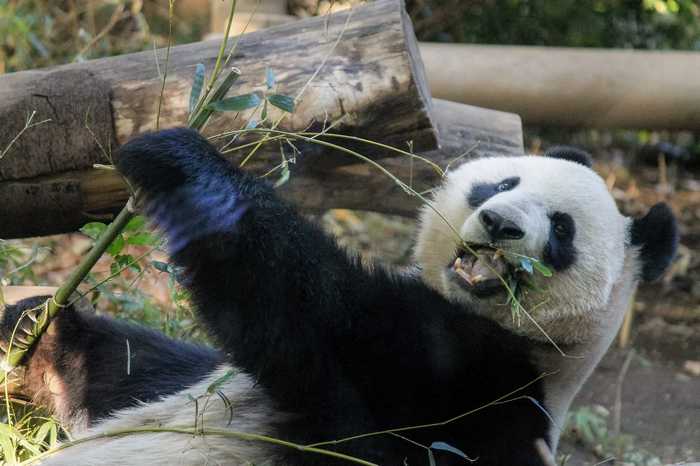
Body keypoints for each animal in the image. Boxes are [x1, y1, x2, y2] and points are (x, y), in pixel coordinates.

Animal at [1, 129, 677, 465]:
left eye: (562, 229)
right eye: (501, 182)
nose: (500, 222)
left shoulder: (469, 383)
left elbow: (310, 315)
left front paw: (179, 155)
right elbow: (130, 372)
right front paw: (34, 337)